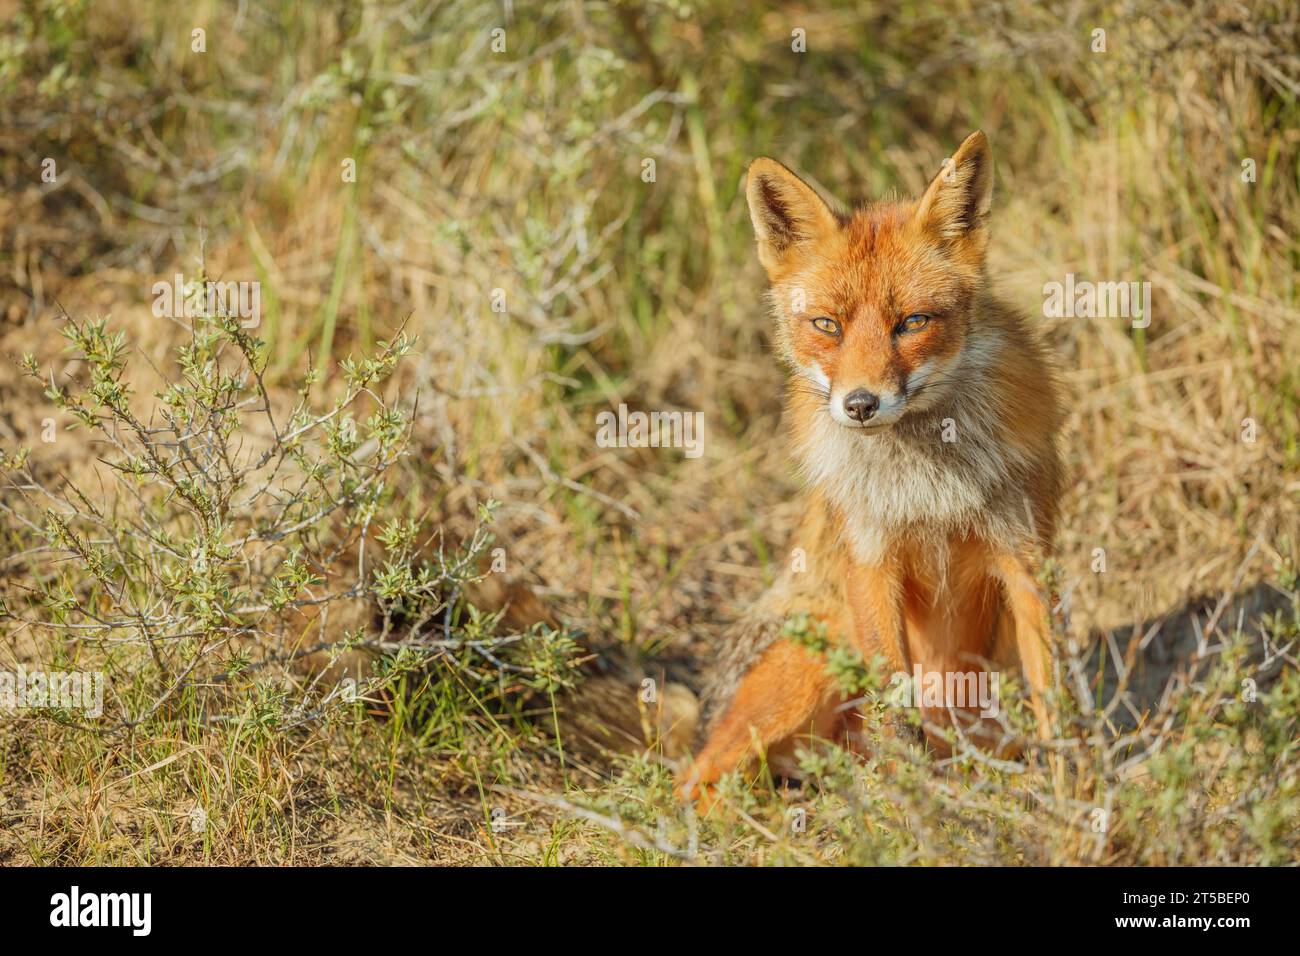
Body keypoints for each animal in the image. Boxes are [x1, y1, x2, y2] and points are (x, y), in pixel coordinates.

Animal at [681, 132, 1066, 806]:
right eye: (826, 325)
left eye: (911, 322)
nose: (859, 404)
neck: (928, 485)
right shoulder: (871, 564)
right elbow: (897, 717)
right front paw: (912, 812)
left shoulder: (1024, 559)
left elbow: (1058, 708)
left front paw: (1083, 802)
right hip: (815, 658)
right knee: (694, 786)